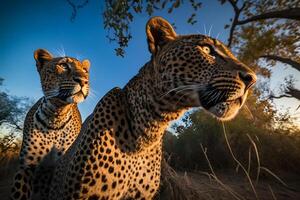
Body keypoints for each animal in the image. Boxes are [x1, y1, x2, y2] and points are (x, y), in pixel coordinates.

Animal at [10, 48, 90, 200]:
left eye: (85, 70)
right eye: (63, 65)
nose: (83, 81)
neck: (57, 115)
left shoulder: (59, 167)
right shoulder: (26, 165)